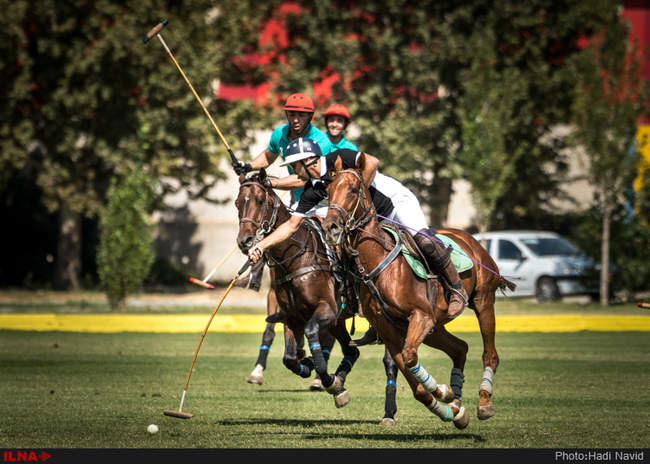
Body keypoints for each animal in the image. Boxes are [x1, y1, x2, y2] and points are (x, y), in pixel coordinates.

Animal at [322, 160, 516, 428]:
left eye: (352, 190)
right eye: (328, 191)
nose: (330, 227)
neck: (381, 264)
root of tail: (472, 239)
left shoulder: (421, 316)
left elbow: (411, 357)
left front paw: (442, 391)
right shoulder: (391, 331)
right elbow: (414, 380)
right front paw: (447, 402)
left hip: (483, 301)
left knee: (490, 354)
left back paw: (484, 403)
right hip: (436, 326)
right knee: (460, 348)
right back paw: (457, 406)